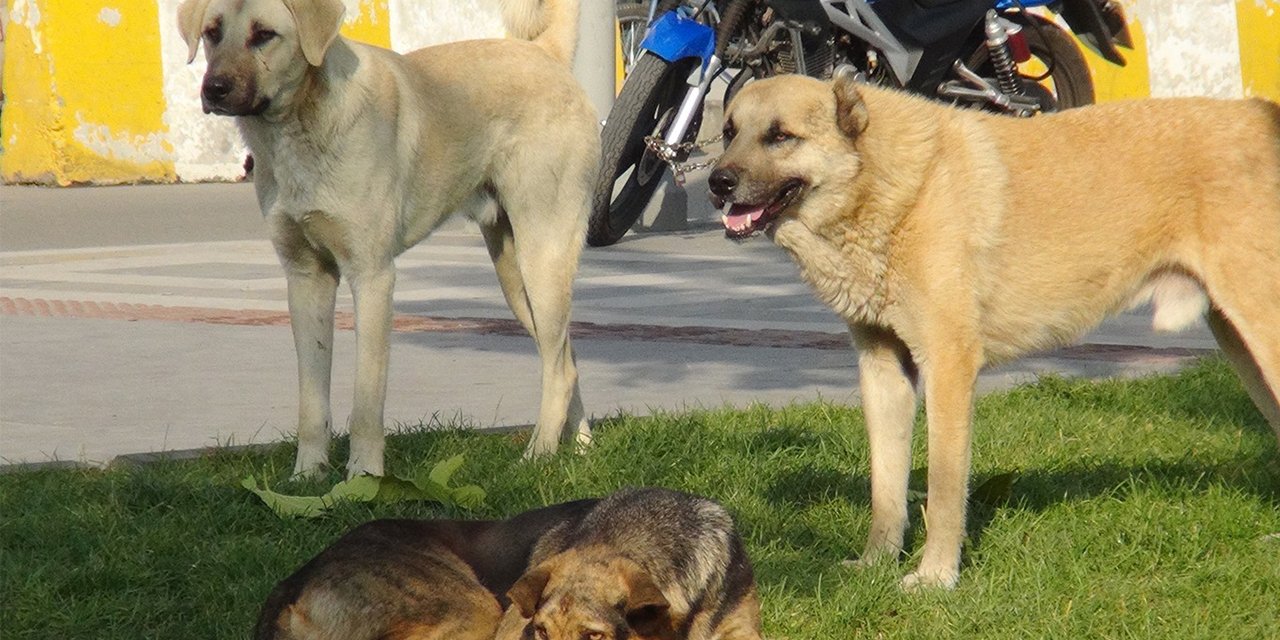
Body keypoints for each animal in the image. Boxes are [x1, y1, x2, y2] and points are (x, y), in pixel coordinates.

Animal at [177, 0, 601, 476]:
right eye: (212, 32)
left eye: (264, 34)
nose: (213, 89)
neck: (300, 126)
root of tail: (547, 54)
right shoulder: (306, 280)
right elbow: (311, 400)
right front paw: (307, 475)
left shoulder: (373, 277)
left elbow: (366, 402)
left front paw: (363, 476)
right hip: (516, 276)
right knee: (564, 356)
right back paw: (580, 449)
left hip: (541, 256)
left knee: (560, 368)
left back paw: (538, 456)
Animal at [711, 73, 1280, 588]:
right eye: (729, 131)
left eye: (780, 136)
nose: (717, 184)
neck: (888, 184)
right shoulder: (884, 370)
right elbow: (886, 487)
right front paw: (877, 564)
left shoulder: (948, 366)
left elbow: (943, 489)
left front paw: (935, 578)